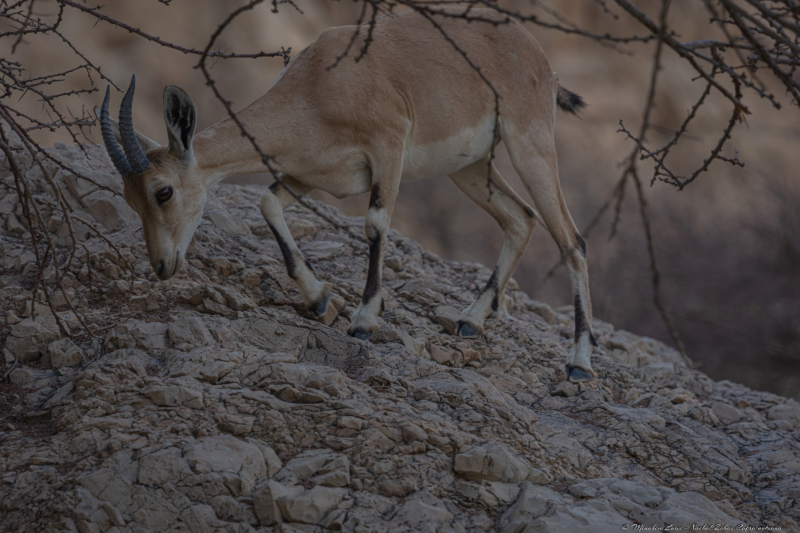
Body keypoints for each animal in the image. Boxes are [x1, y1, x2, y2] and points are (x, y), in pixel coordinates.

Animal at [98, 7, 597, 382]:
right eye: (129, 199)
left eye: (163, 192)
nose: (163, 266)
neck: (319, 85)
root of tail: (535, 54)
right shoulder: (310, 175)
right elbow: (267, 202)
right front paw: (319, 298)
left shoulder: (388, 149)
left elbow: (375, 224)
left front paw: (363, 320)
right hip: (469, 167)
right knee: (521, 218)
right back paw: (471, 320)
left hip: (529, 142)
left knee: (571, 239)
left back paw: (579, 363)